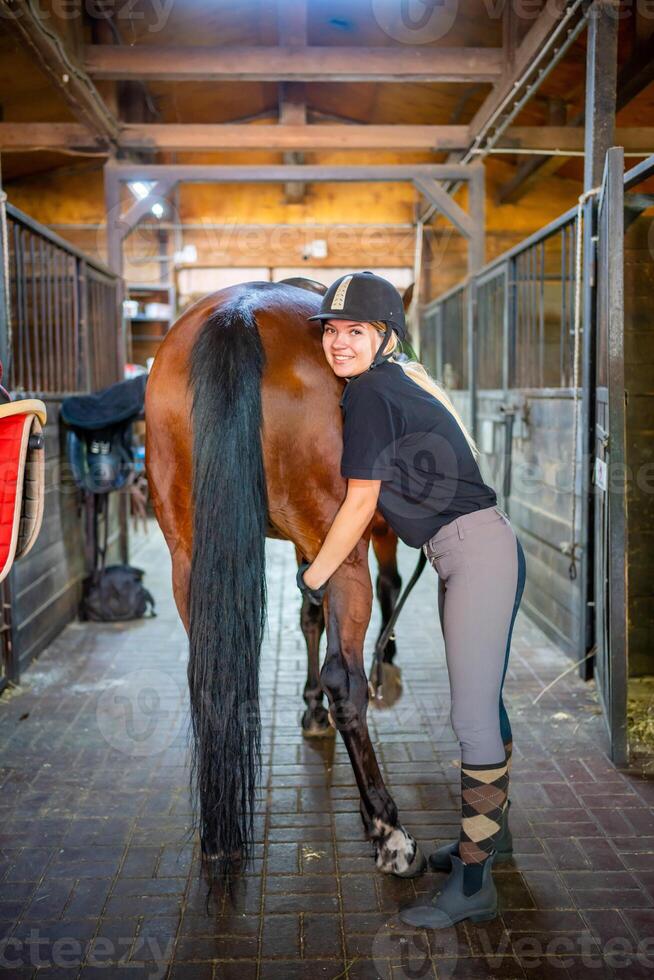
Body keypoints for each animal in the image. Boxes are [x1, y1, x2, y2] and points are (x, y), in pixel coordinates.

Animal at [146, 278, 428, 880]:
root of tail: (237, 315)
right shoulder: (365, 534)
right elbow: (383, 591)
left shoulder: (309, 550)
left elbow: (308, 615)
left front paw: (309, 707)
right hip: (346, 555)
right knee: (347, 680)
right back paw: (388, 828)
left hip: (189, 556)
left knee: (209, 676)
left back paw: (219, 838)